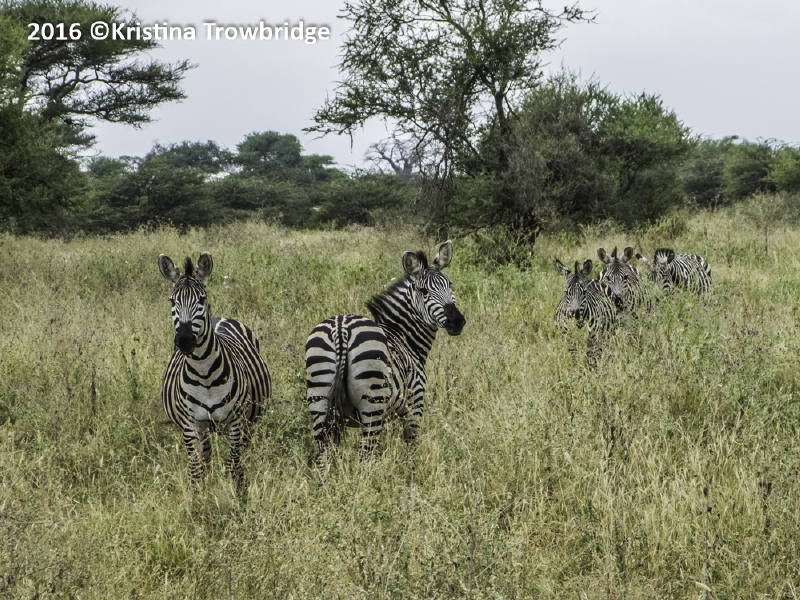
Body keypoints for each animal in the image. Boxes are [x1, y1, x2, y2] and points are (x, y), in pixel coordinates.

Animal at [158, 252, 272, 489]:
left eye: (202, 300)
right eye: (172, 301)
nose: (184, 341)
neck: (204, 374)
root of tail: (219, 318)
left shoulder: (235, 423)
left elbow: (235, 467)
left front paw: (239, 495)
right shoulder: (191, 425)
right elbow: (195, 470)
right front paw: (198, 496)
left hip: (247, 422)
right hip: (205, 429)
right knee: (206, 458)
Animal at [305, 241, 466, 474]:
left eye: (449, 285)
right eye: (424, 290)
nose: (457, 321)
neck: (405, 337)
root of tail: (341, 328)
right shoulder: (414, 404)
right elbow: (411, 447)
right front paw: (412, 476)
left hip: (319, 397)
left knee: (322, 456)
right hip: (372, 404)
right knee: (365, 456)